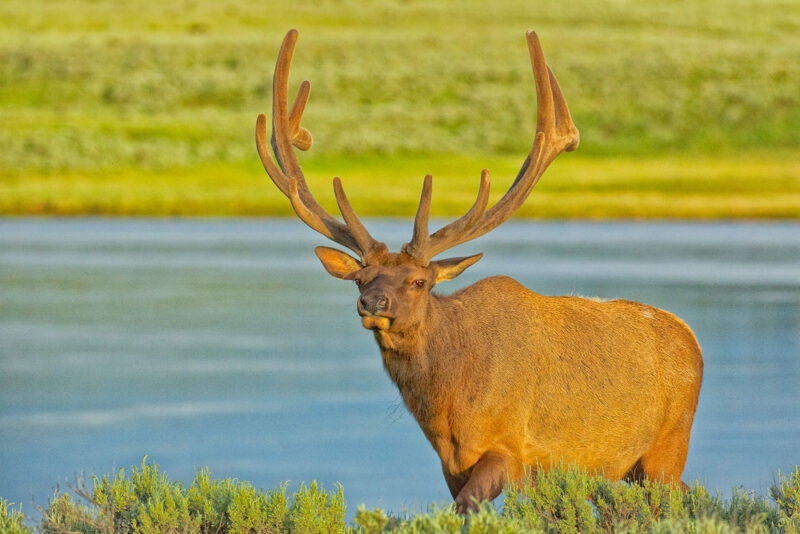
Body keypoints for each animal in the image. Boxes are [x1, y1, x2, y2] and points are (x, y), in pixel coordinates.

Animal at [255, 29, 700, 516]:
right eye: (360, 278)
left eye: (419, 282)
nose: (372, 302)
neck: (448, 407)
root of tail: (691, 338)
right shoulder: (452, 465)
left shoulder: (508, 447)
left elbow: (466, 509)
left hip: (667, 447)